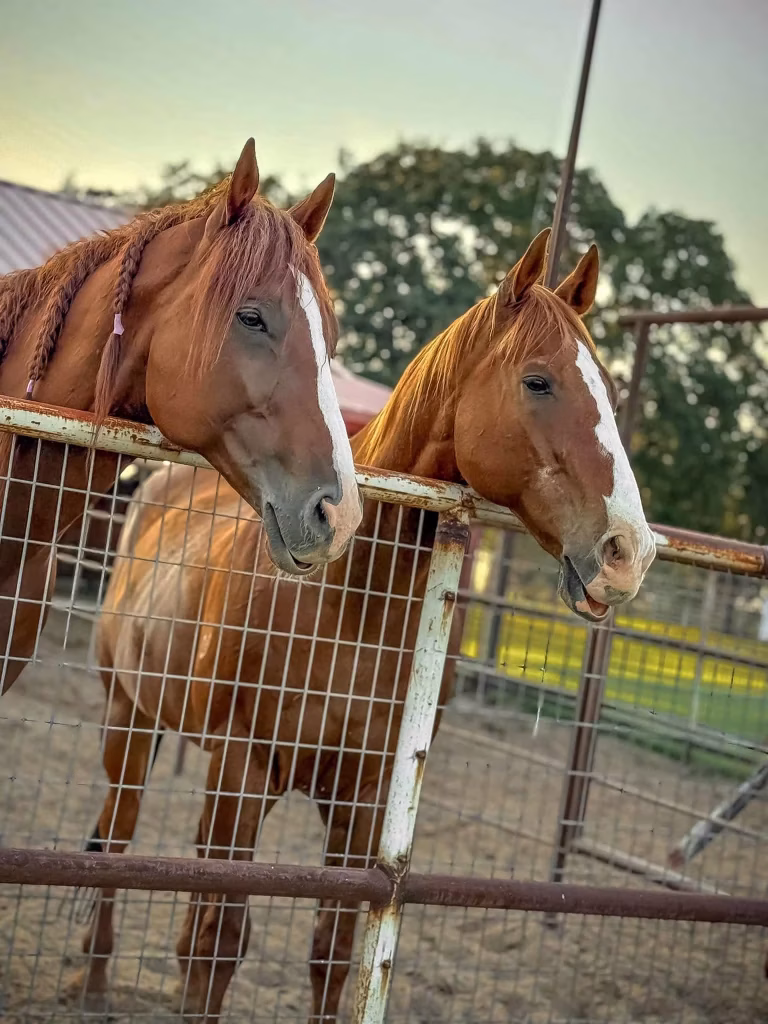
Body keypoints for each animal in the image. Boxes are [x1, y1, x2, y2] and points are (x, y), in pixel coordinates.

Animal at [74, 229, 657, 1021]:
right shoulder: (242, 772)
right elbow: (217, 941)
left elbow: (333, 951)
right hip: (128, 719)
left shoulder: (365, 795)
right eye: (539, 382)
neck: (348, 605)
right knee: (119, 836)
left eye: (610, 391)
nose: (630, 551)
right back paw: (94, 977)